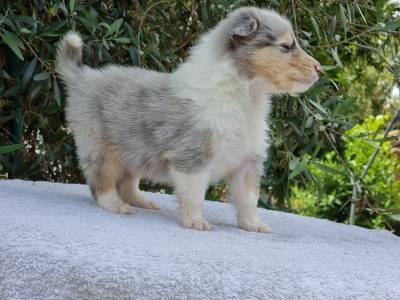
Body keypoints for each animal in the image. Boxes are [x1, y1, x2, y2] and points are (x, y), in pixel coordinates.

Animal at [56, 6, 320, 232]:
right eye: (286, 46)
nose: (320, 69)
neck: (245, 93)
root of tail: (83, 77)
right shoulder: (193, 156)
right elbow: (195, 194)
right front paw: (196, 222)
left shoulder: (248, 160)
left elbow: (249, 197)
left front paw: (253, 225)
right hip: (100, 148)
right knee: (101, 183)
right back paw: (116, 205)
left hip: (133, 150)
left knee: (128, 183)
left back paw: (142, 202)